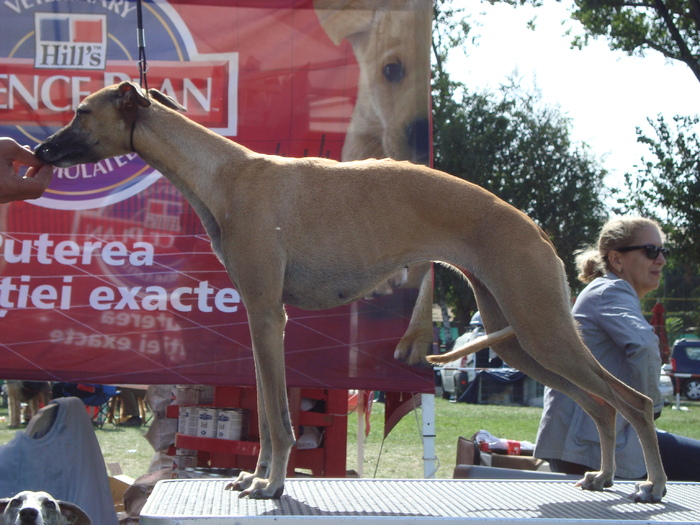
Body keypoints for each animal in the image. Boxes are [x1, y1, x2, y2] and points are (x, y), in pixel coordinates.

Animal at [37, 81, 668, 500]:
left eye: (81, 111)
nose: (41, 151)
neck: (223, 174)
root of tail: (533, 227)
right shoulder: (259, 318)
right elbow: (264, 405)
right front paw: (254, 475)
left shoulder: (267, 314)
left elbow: (276, 416)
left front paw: (269, 484)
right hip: (518, 337)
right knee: (602, 406)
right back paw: (604, 476)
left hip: (539, 325)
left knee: (633, 401)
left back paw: (651, 487)